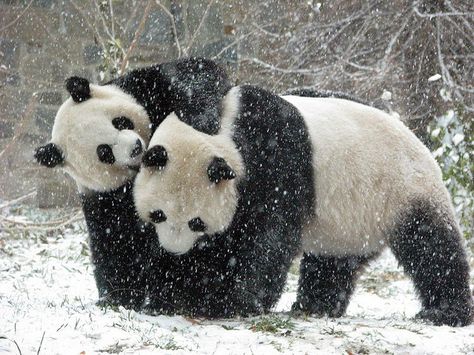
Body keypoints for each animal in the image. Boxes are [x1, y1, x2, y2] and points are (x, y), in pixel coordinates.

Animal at [34, 57, 232, 310]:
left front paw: (199, 121)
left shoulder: (145, 88)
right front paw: (119, 296)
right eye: (104, 153)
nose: (136, 147)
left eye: (120, 122)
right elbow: (116, 243)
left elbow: (192, 75)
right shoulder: (104, 199)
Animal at [133, 85, 474, 326]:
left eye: (196, 221)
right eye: (158, 215)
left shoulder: (276, 165)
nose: (174, 250)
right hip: (352, 219)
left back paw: (444, 312)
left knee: (431, 246)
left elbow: (265, 242)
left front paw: (223, 300)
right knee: (334, 262)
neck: (223, 129)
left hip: (402, 190)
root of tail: (424, 148)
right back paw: (314, 306)